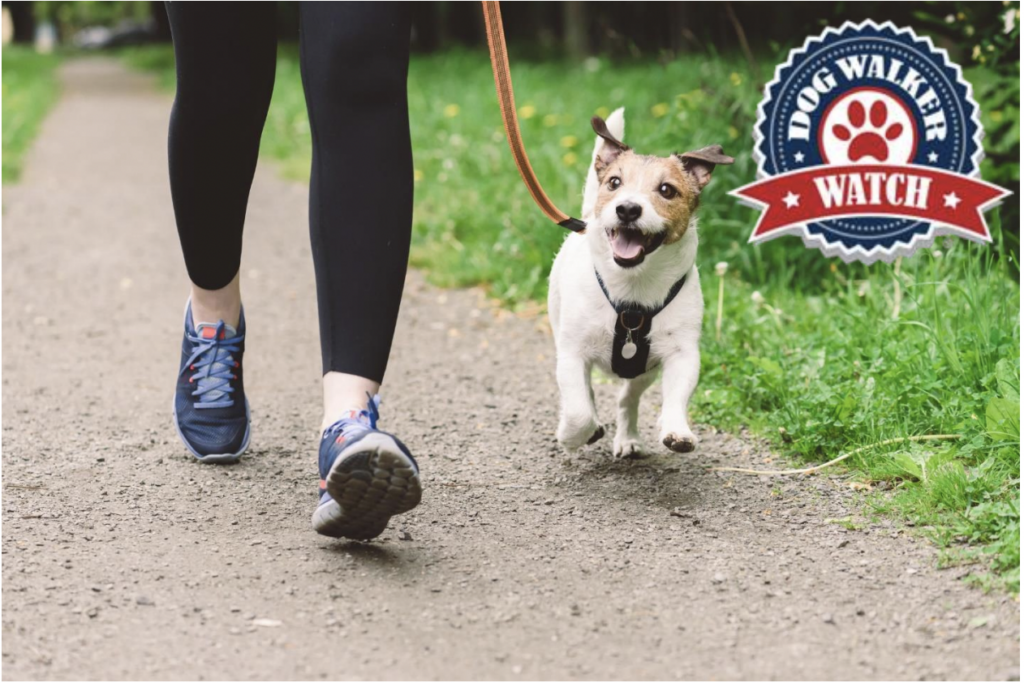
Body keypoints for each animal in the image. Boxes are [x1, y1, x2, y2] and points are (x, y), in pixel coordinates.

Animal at [548, 108, 733, 458]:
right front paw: (571, 435)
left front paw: (677, 430)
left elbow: (676, 396)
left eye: (667, 190)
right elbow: (579, 410)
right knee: (586, 394)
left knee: (627, 399)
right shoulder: (571, 353)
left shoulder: (681, 354)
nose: (628, 208)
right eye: (614, 183)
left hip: (643, 371)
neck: (633, 290)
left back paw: (628, 437)